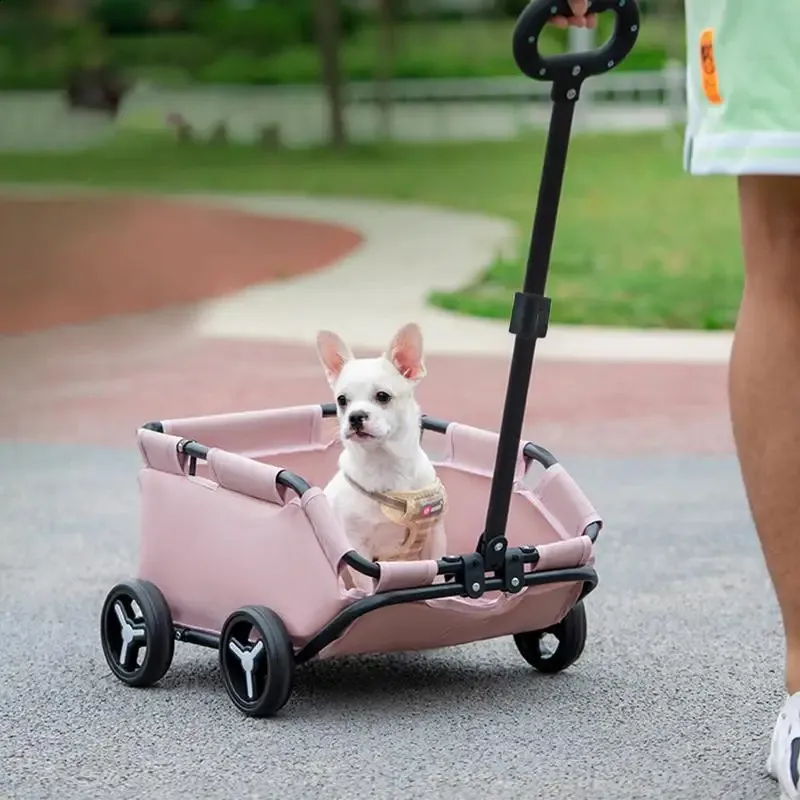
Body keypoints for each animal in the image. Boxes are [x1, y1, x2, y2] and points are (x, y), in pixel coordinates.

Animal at [314, 322, 450, 592]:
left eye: (383, 396)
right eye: (342, 400)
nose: (355, 416)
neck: (385, 463)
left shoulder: (435, 537)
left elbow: (438, 575)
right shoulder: (358, 549)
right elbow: (366, 588)